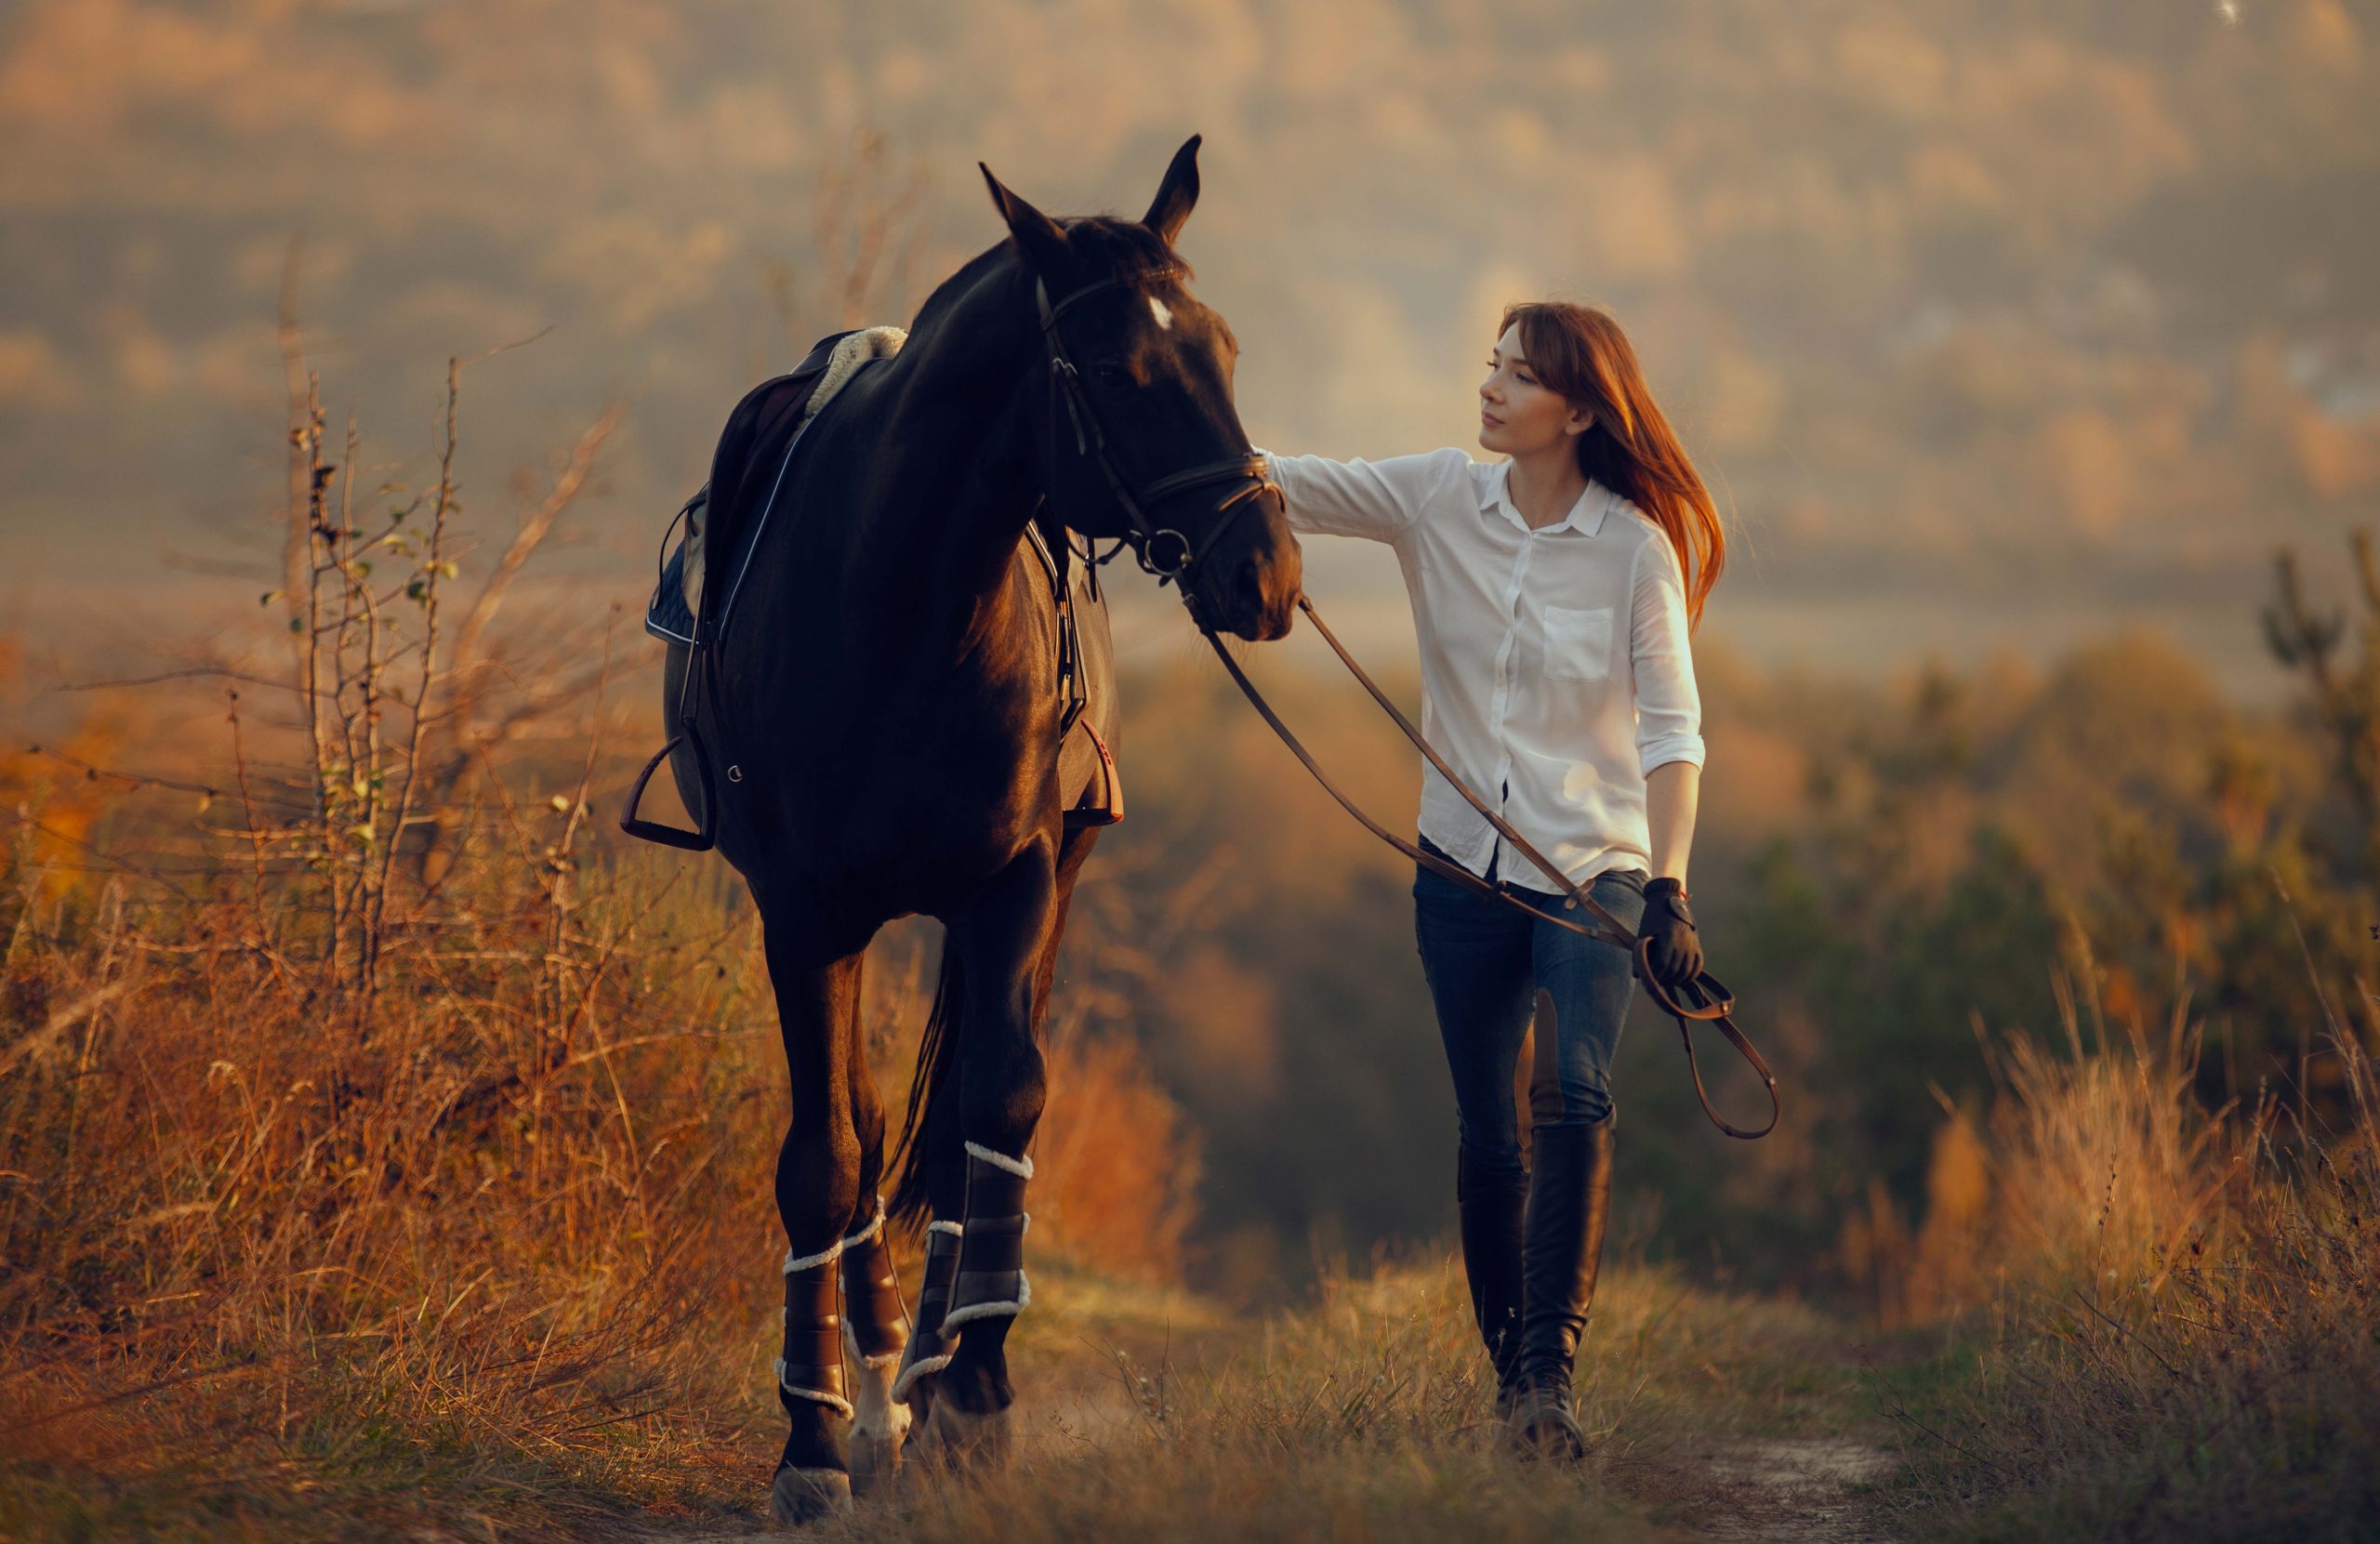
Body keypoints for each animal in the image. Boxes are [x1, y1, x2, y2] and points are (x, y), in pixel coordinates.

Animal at [652, 134, 1301, 1522]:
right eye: (1112, 370)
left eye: (1222, 349)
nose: (1264, 574)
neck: (901, 606)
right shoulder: (804, 914)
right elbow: (825, 1155)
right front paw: (811, 1438)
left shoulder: (1017, 884)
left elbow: (995, 1108)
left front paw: (978, 1398)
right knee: (866, 1134)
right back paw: (884, 1379)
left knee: (957, 1128)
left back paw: (933, 1373)